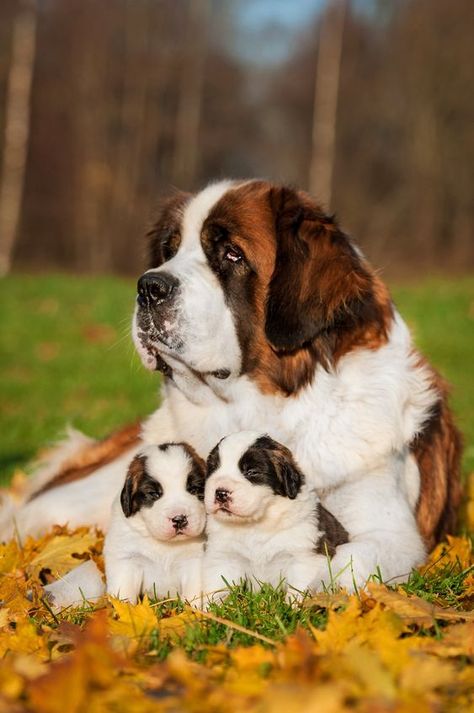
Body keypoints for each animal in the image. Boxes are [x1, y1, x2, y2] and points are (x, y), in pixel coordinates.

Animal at [104, 442, 205, 604]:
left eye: (194, 489)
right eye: (154, 494)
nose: (179, 519)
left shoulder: (195, 560)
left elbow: (193, 592)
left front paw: (194, 609)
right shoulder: (127, 558)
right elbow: (123, 592)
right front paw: (124, 610)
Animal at [201, 428, 348, 600]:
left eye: (251, 471)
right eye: (213, 469)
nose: (221, 493)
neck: (255, 524)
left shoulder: (306, 557)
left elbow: (298, 589)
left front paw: (294, 605)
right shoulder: (223, 558)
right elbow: (217, 589)